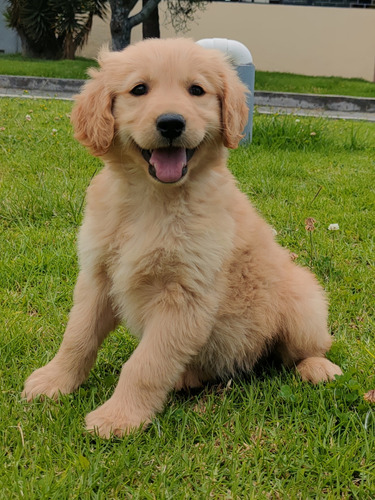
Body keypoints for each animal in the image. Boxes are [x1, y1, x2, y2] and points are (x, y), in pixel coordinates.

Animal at [22, 39, 342, 438]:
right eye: (139, 89)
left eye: (197, 91)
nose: (172, 123)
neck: (152, 200)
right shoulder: (98, 276)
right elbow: (77, 337)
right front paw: (54, 381)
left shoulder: (184, 294)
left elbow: (145, 364)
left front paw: (119, 418)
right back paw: (187, 377)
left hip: (302, 301)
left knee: (310, 348)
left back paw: (318, 368)